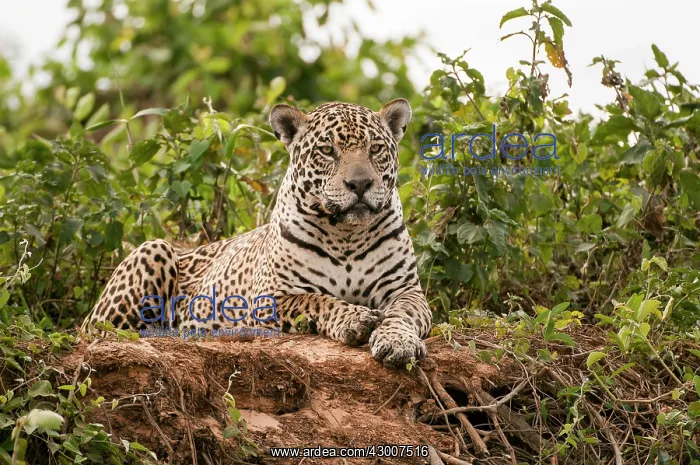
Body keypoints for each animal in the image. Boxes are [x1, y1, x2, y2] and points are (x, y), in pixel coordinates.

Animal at [81, 99, 433, 368]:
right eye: (326, 150)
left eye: (376, 148)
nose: (360, 184)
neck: (346, 233)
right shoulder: (269, 297)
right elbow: (317, 300)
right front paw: (354, 319)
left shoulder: (406, 290)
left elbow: (403, 315)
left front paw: (397, 342)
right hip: (153, 250)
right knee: (103, 332)